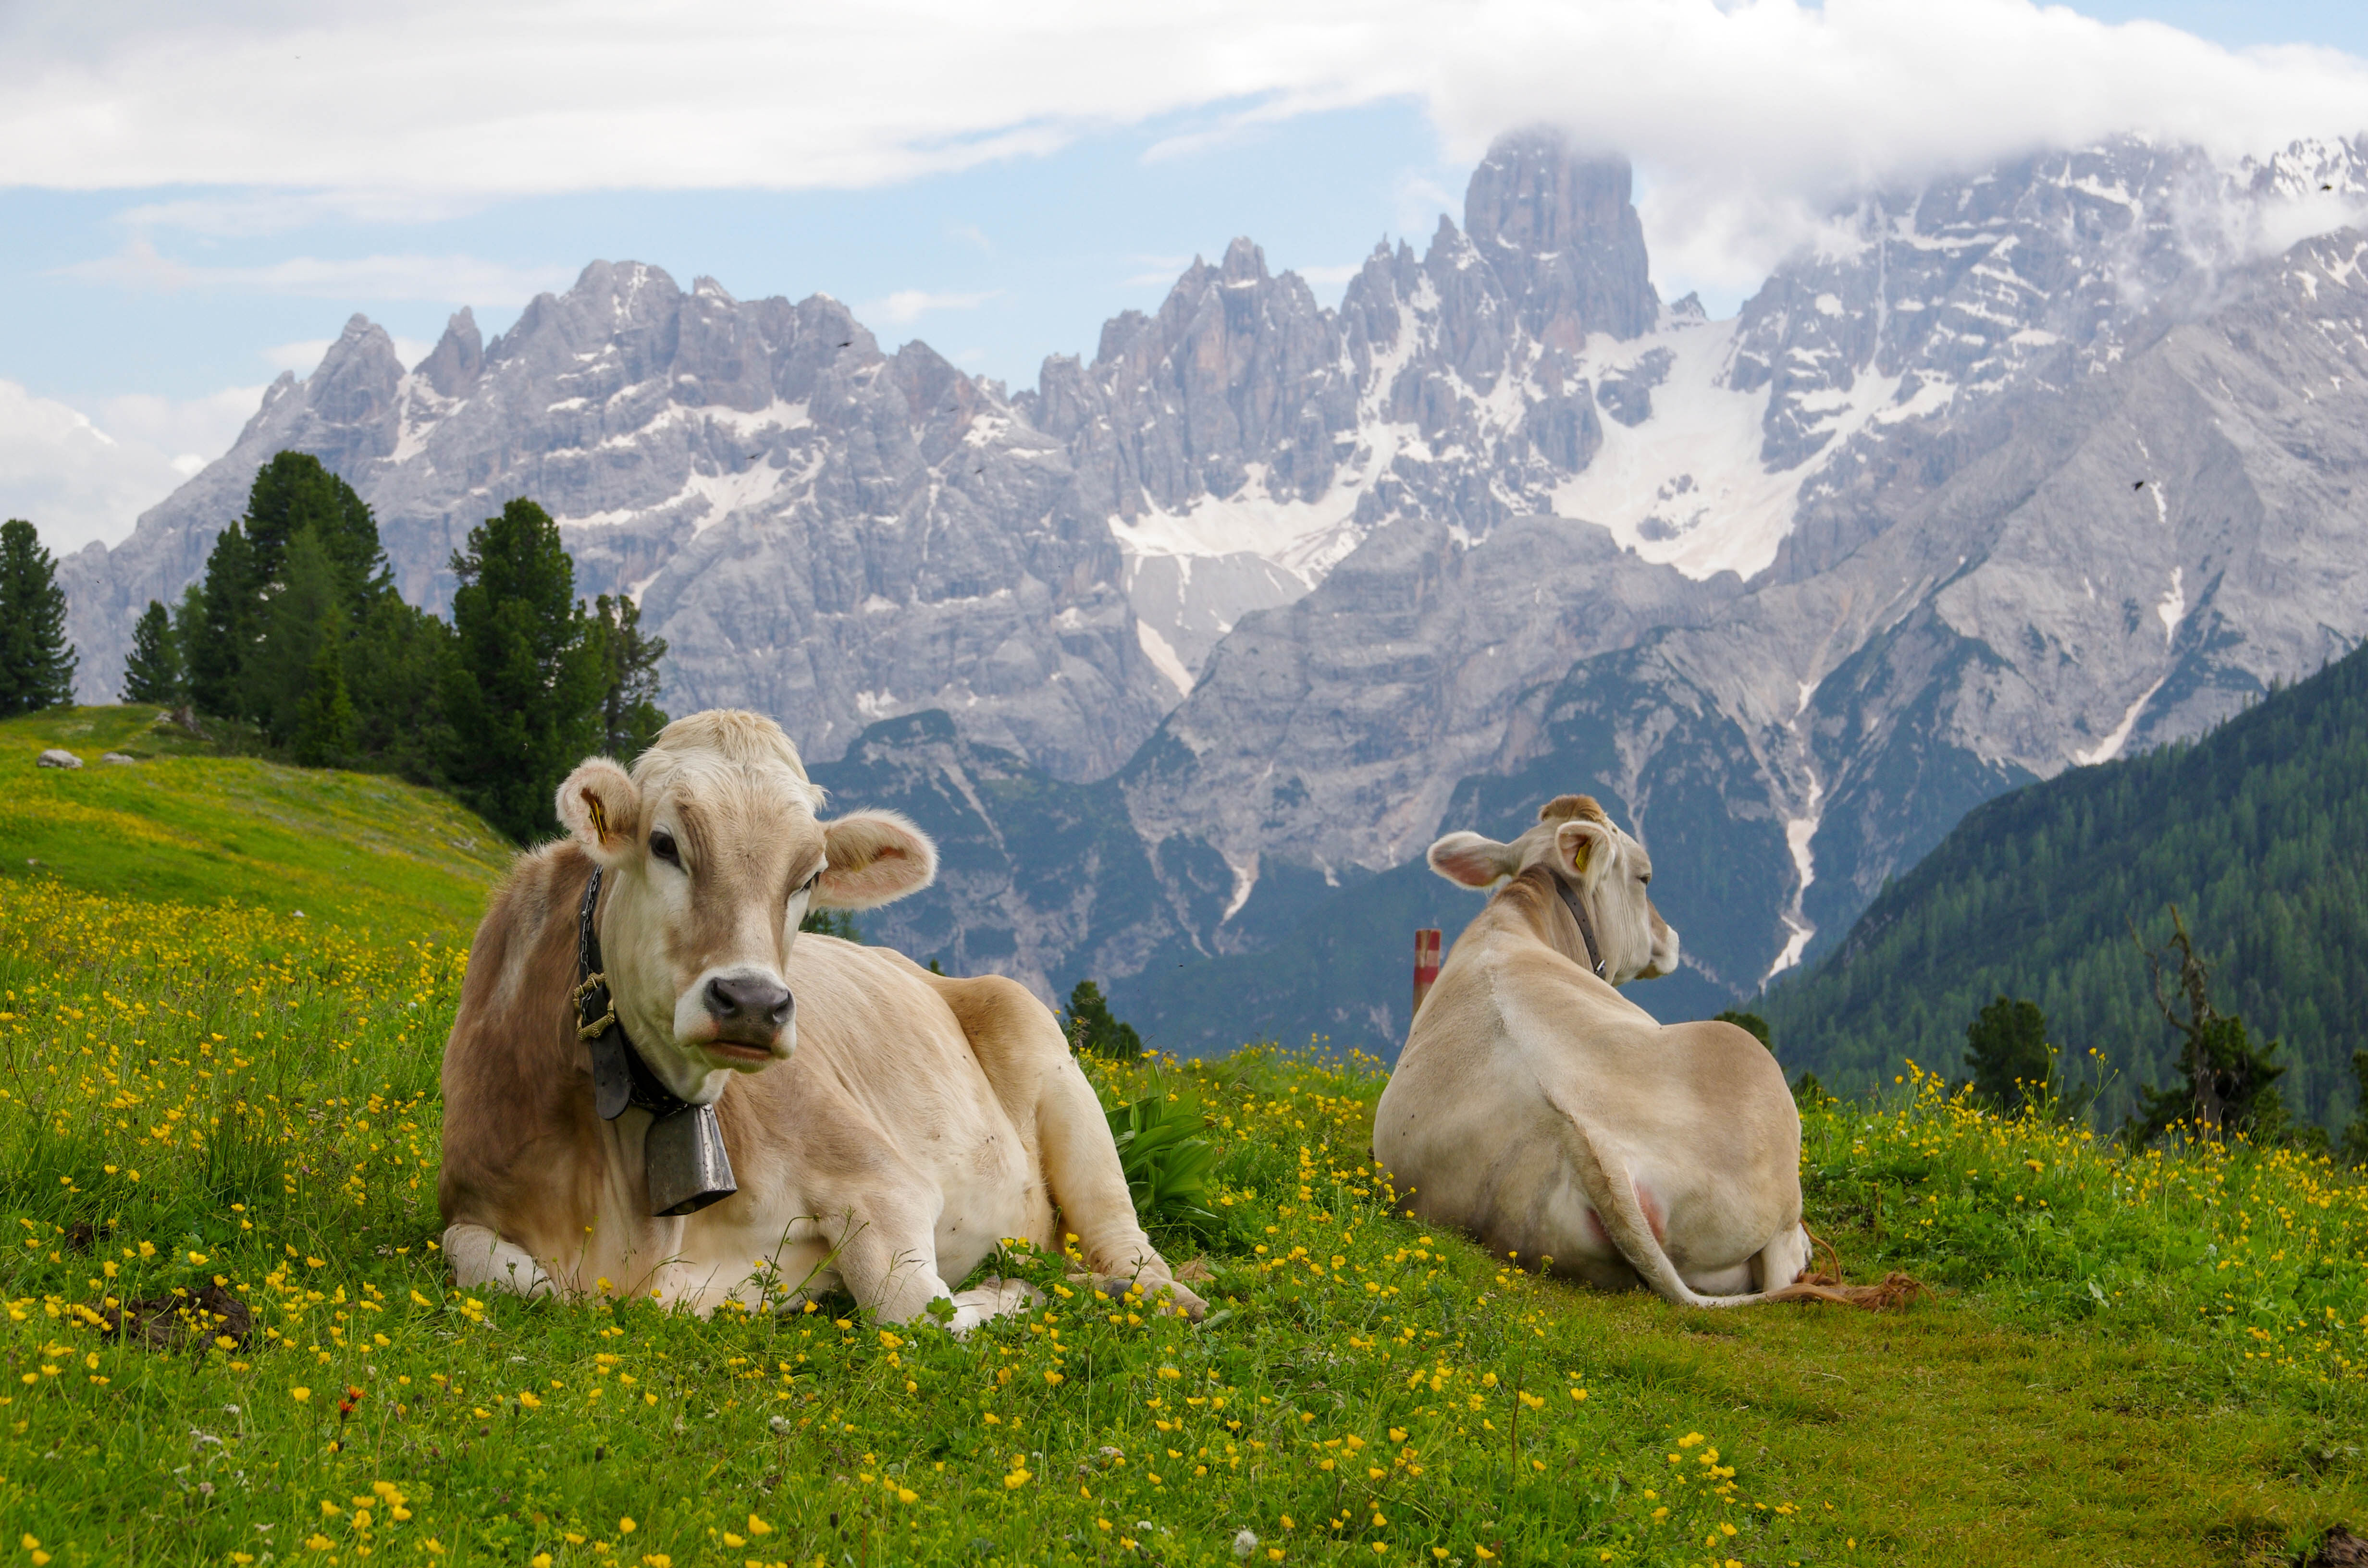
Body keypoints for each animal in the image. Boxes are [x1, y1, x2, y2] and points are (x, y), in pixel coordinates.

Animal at [440, 720, 1203, 1335]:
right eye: (663, 844)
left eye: (809, 876)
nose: (752, 1001)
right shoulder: (468, 1205)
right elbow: (506, 1274)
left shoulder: (882, 1180)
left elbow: (914, 1309)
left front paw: (1011, 1290)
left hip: (1055, 1068)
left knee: (1127, 1244)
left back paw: (1145, 1291)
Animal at [1373, 800, 1866, 1317]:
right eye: (1645, 877)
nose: (1670, 937)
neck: (1522, 921)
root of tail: (1593, 1143)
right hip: (1749, 1072)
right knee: (1780, 1261)